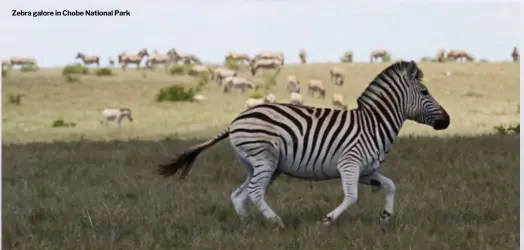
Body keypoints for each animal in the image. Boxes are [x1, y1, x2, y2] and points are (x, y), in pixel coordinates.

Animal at [159, 60, 450, 229]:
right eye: (424, 92)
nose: (446, 120)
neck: (374, 123)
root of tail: (235, 121)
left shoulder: (367, 170)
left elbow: (390, 185)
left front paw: (386, 216)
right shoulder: (349, 163)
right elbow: (352, 196)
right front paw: (328, 220)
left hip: (259, 165)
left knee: (239, 194)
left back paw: (248, 226)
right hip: (265, 160)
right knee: (254, 192)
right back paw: (276, 223)